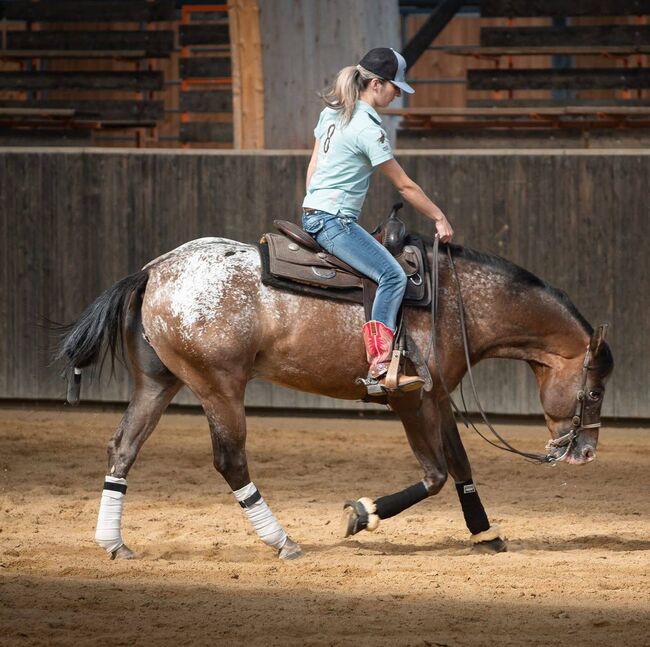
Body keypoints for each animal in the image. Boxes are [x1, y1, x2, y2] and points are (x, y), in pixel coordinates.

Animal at [57, 235, 612, 560]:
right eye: (594, 389)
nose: (584, 453)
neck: (456, 302)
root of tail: (153, 270)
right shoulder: (410, 402)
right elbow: (434, 474)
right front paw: (361, 514)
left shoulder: (437, 398)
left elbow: (459, 465)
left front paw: (485, 533)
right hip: (219, 386)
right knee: (231, 460)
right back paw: (281, 541)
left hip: (159, 383)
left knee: (123, 448)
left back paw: (113, 542)